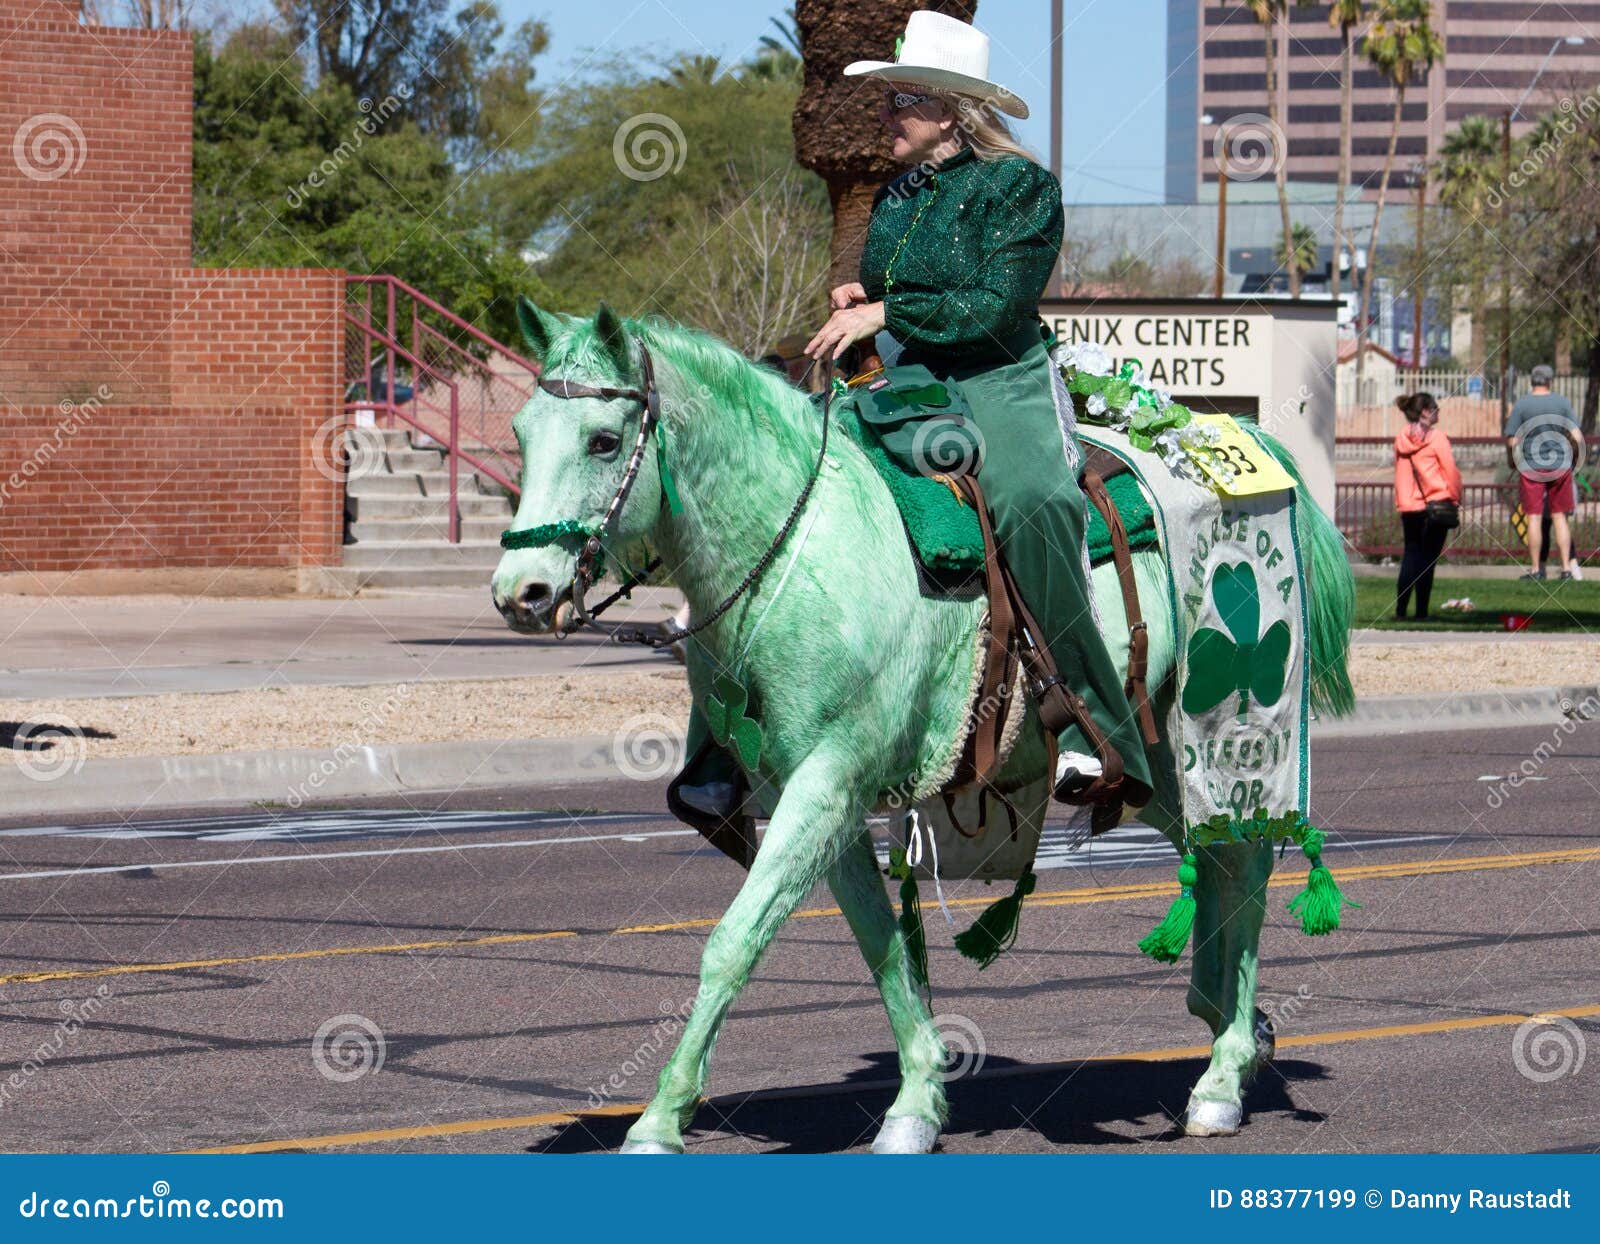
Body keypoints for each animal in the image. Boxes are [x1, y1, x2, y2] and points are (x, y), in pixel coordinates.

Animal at [492, 300, 1356, 1151]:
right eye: (521, 434)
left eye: (604, 440)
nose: (520, 593)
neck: (800, 548)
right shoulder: (818, 795)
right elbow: (882, 947)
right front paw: (916, 1101)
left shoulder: (826, 784)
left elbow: (733, 942)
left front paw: (659, 1119)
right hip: (1156, 764)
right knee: (1216, 863)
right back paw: (1231, 1029)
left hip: (1214, 733)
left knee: (1242, 862)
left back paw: (1222, 1078)